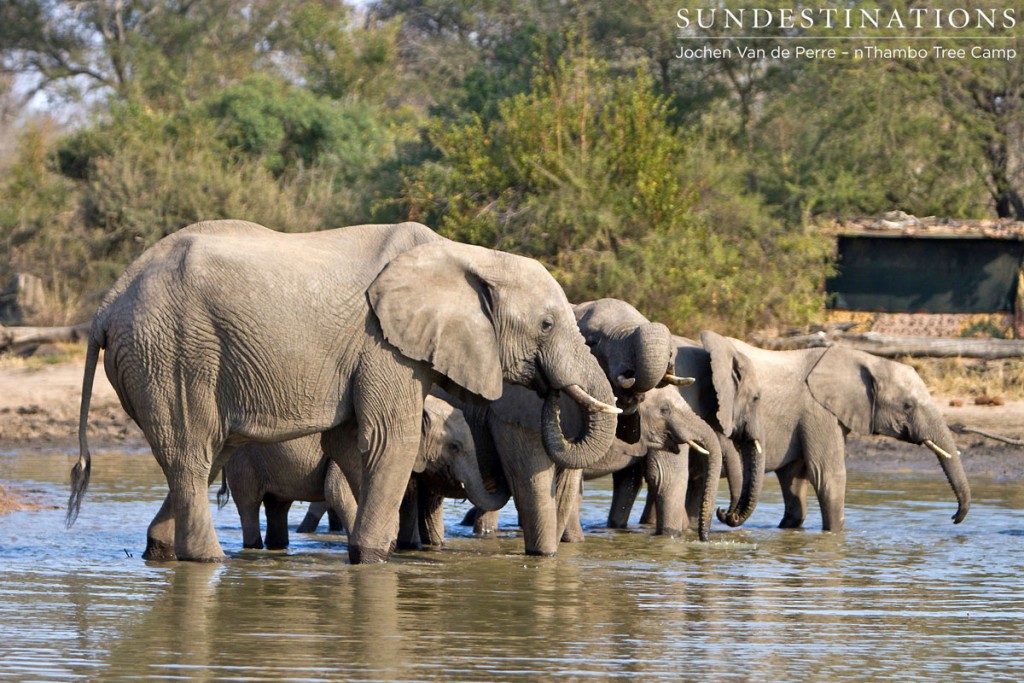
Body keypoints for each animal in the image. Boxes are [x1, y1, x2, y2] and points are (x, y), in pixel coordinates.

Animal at [712, 344, 966, 532]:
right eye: (908, 406)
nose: (954, 517)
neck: (865, 359)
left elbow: (794, 478)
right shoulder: (818, 412)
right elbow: (827, 476)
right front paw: (836, 535)